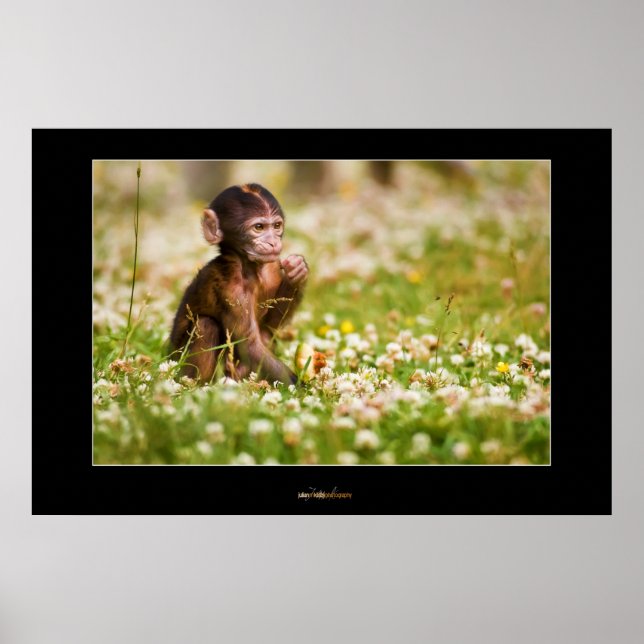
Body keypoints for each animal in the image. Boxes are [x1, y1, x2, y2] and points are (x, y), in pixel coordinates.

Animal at [170, 183, 308, 385]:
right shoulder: (232, 288)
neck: (248, 268)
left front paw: (297, 271)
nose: (273, 242)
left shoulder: (272, 268)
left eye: (276, 226)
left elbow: (269, 325)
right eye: (258, 227)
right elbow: (249, 345)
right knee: (205, 325)